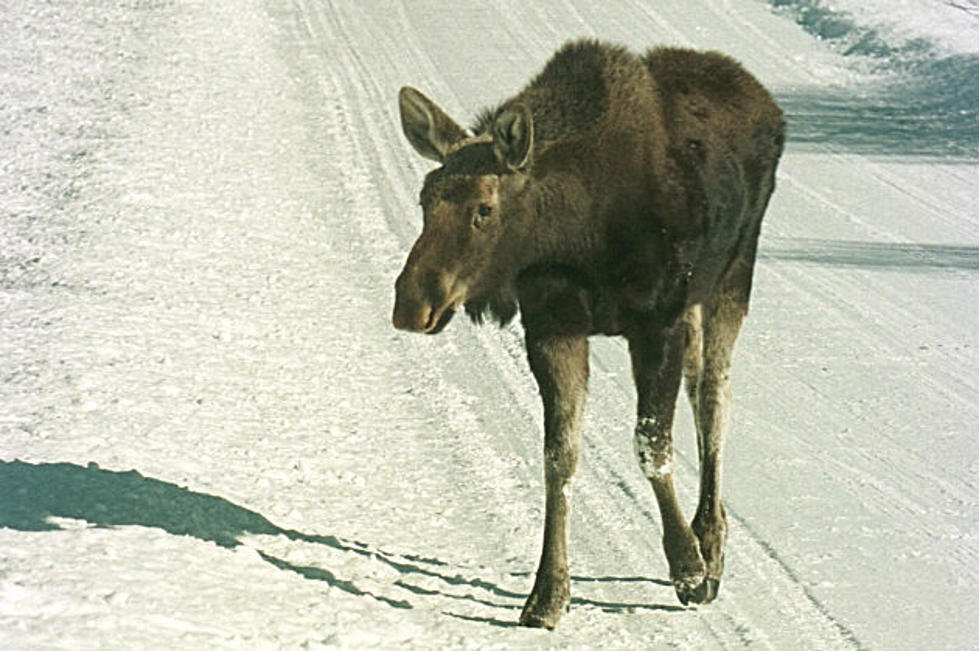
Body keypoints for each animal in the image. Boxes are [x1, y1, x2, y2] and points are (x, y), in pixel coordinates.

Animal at [394, 42, 784, 632]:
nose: (411, 304)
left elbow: (652, 447)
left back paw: (712, 545)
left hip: (732, 276)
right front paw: (548, 594)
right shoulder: (553, 321)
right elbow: (559, 453)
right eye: (424, 199)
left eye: (484, 208)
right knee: (702, 388)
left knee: (714, 395)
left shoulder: (658, 321)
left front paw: (689, 569)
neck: (576, 231)